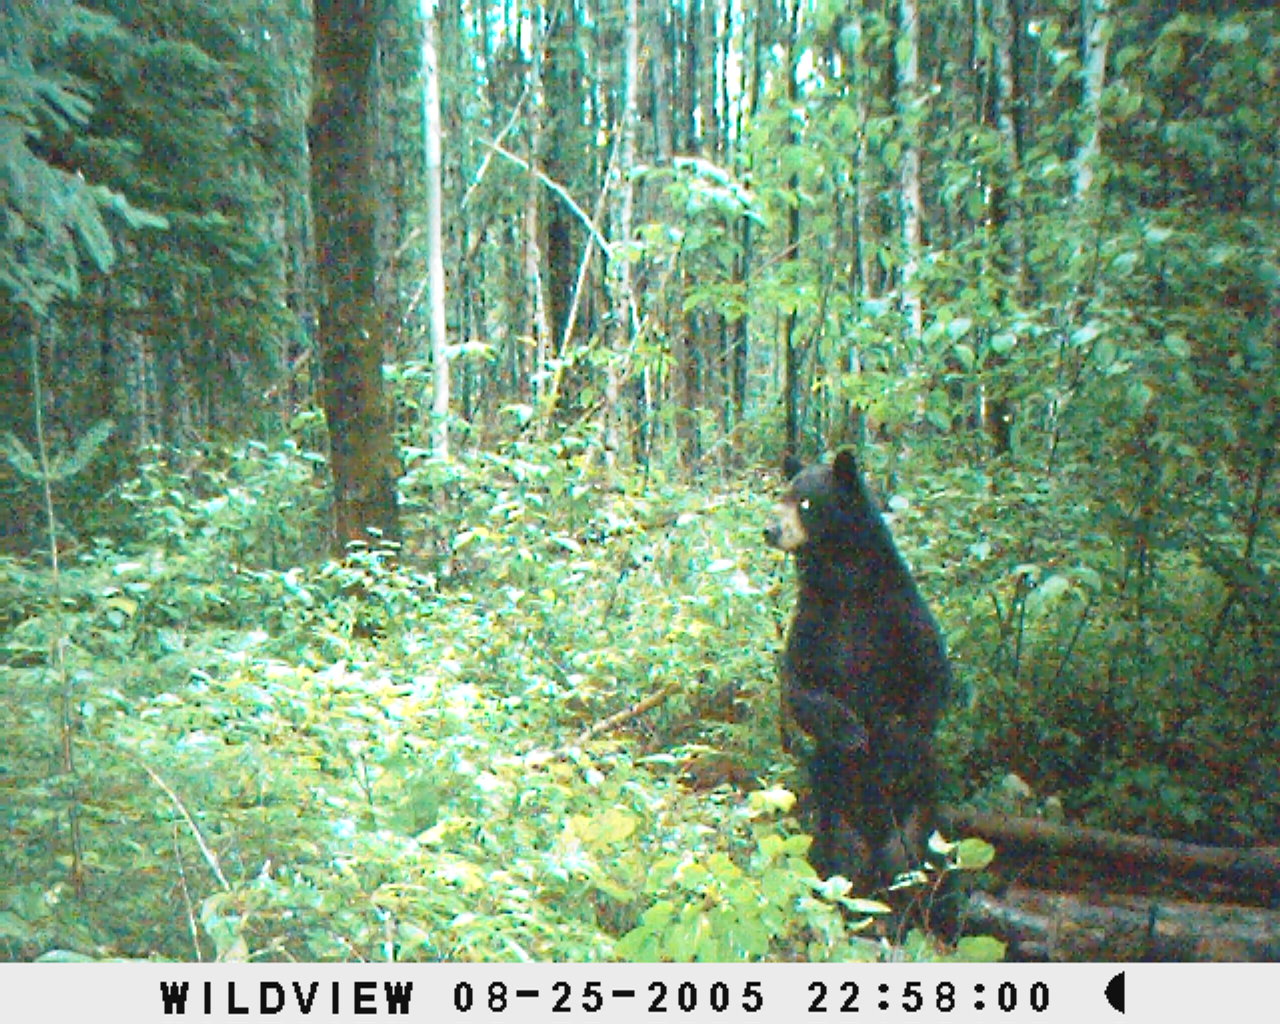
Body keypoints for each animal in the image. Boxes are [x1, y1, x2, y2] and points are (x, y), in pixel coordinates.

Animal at [764, 449, 954, 929]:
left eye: (806, 502)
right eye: (782, 495)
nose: (771, 529)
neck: (844, 582)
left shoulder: (898, 609)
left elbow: (933, 677)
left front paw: (892, 738)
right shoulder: (814, 619)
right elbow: (798, 684)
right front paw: (848, 728)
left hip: (919, 812)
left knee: (915, 863)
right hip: (832, 811)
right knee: (839, 864)